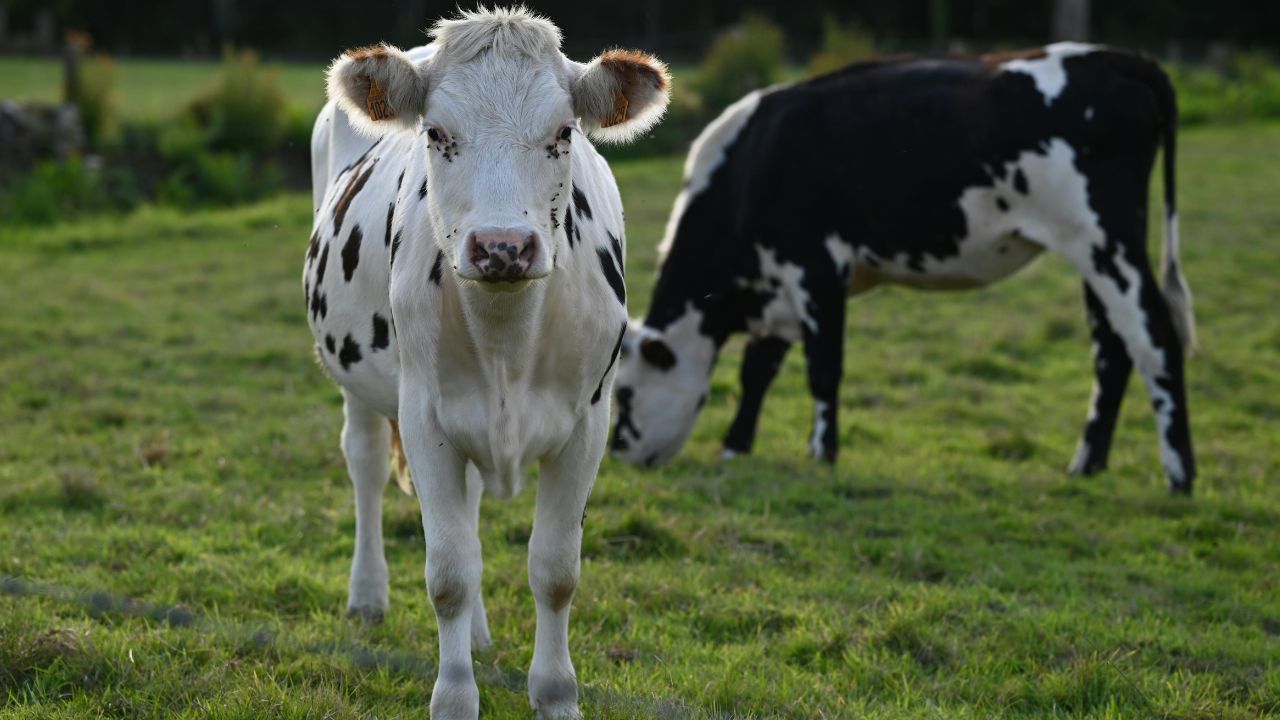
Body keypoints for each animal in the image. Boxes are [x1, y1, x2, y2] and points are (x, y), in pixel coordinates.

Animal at [304, 8, 669, 718]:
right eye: (437, 133)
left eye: (563, 133)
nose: (503, 247)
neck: (508, 340)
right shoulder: (425, 420)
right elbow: (449, 572)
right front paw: (453, 698)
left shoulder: (588, 425)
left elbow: (555, 572)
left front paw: (556, 695)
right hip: (359, 383)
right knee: (365, 463)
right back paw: (368, 597)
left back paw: (474, 634)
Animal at [610, 43, 1198, 494]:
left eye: (625, 394)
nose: (616, 452)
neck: (751, 166)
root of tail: (1119, 58)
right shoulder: (776, 285)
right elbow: (758, 369)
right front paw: (736, 447)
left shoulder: (815, 268)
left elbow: (823, 366)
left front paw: (821, 453)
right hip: (1091, 254)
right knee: (1113, 349)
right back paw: (1086, 465)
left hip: (1106, 240)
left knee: (1155, 338)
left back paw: (1179, 476)